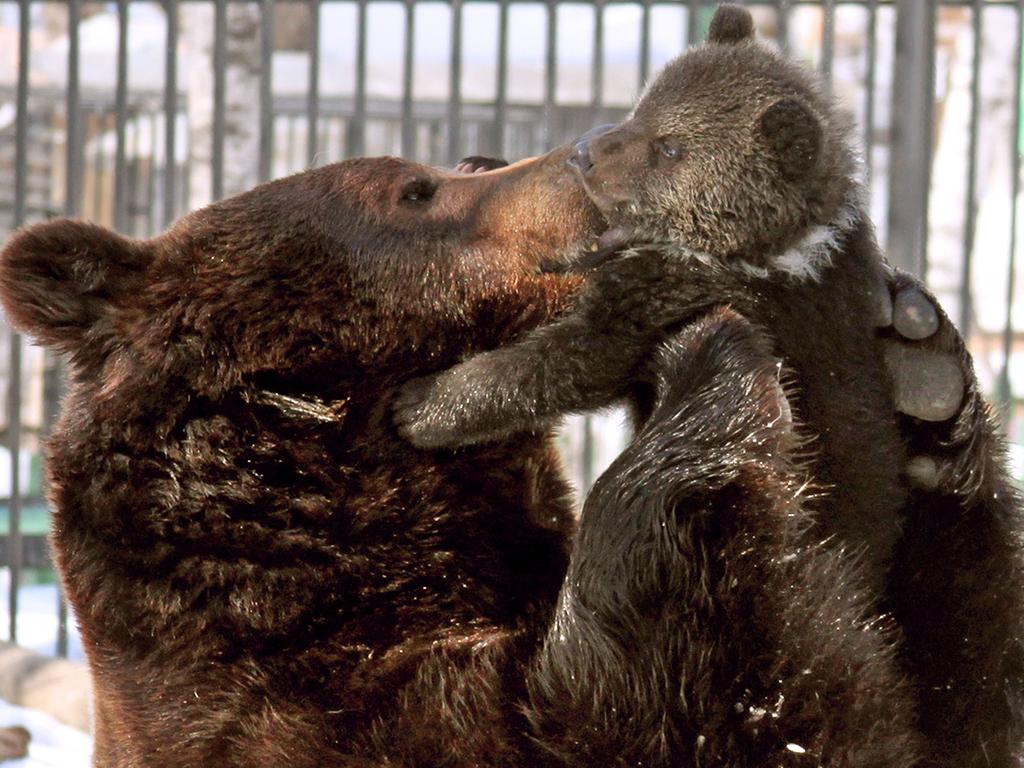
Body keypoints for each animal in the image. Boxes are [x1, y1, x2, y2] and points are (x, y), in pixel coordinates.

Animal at [395, 7, 1024, 768]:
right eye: (645, 104)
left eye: (670, 147)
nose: (586, 151)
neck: (773, 249)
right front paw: (487, 171)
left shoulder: (690, 294)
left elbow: (571, 354)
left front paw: (425, 404)